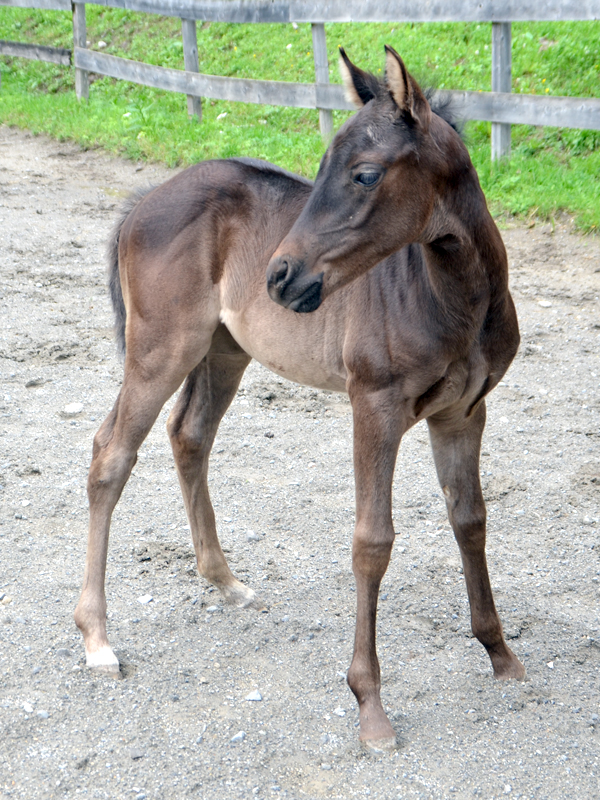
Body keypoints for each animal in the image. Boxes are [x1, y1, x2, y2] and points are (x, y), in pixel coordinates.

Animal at [75, 45, 526, 752]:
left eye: (364, 174)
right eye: (320, 170)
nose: (282, 277)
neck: (455, 299)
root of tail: (145, 201)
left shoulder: (463, 412)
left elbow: (471, 521)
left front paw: (500, 655)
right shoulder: (375, 408)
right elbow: (372, 541)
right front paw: (370, 707)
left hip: (223, 351)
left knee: (189, 435)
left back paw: (226, 582)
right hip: (161, 351)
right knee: (111, 455)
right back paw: (97, 639)